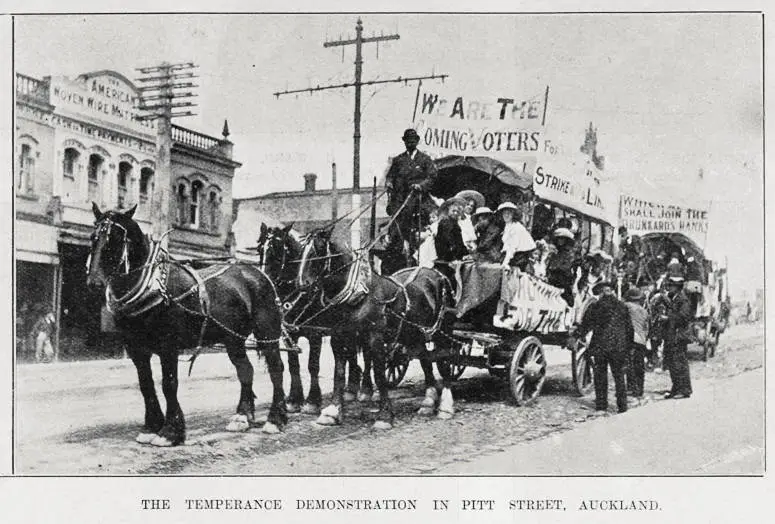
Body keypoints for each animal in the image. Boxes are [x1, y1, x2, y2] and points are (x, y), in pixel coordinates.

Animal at [85, 204, 290, 446]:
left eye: (115, 239)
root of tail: (258, 272)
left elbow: (168, 384)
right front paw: (150, 427)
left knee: (276, 368)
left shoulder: (168, 347)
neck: (154, 287)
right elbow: (146, 384)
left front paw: (170, 431)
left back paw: (275, 419)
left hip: (267, 332)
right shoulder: (136, 349)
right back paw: (242, 417)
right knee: (245, 369)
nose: (94, 282)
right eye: (93, 238)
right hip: (233, 339)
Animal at [253, 224, 366, 414]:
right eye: (260, 249)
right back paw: (351, 387)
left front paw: (312, 401)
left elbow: (313, 365)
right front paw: (294, 399)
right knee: (349, 352)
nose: (263, 282)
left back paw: (360, 389)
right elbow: (293, 364)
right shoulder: (289, 334)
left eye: (277, 250)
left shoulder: (315, 334)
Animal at [294, 229, 458, 430]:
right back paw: (428, 402)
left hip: (443, 331)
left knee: (445, 359)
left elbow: (379, 375)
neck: (358, 295)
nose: (301, 284)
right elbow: (339, 373)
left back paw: (446, 406)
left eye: (317, 252)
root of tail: (438, 274)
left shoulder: (375, 338)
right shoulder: (339, 337)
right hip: (414, 334)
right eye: (301, 251)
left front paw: (384, 416)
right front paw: (332, 412)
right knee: (425, 359)